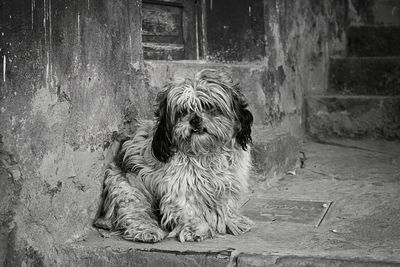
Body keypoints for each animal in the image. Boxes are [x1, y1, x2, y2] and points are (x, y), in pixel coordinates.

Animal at [94, 68, 253, 243]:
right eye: (183, 111)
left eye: (208, 106)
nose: (195, 120)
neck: (205, 152)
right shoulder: (182, 185)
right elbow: (189, 209)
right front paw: (195, 229)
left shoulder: (228, 181)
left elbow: (227, 205)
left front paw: (233, 222)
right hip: (128, 191)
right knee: (134, 214)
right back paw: (147, 231)